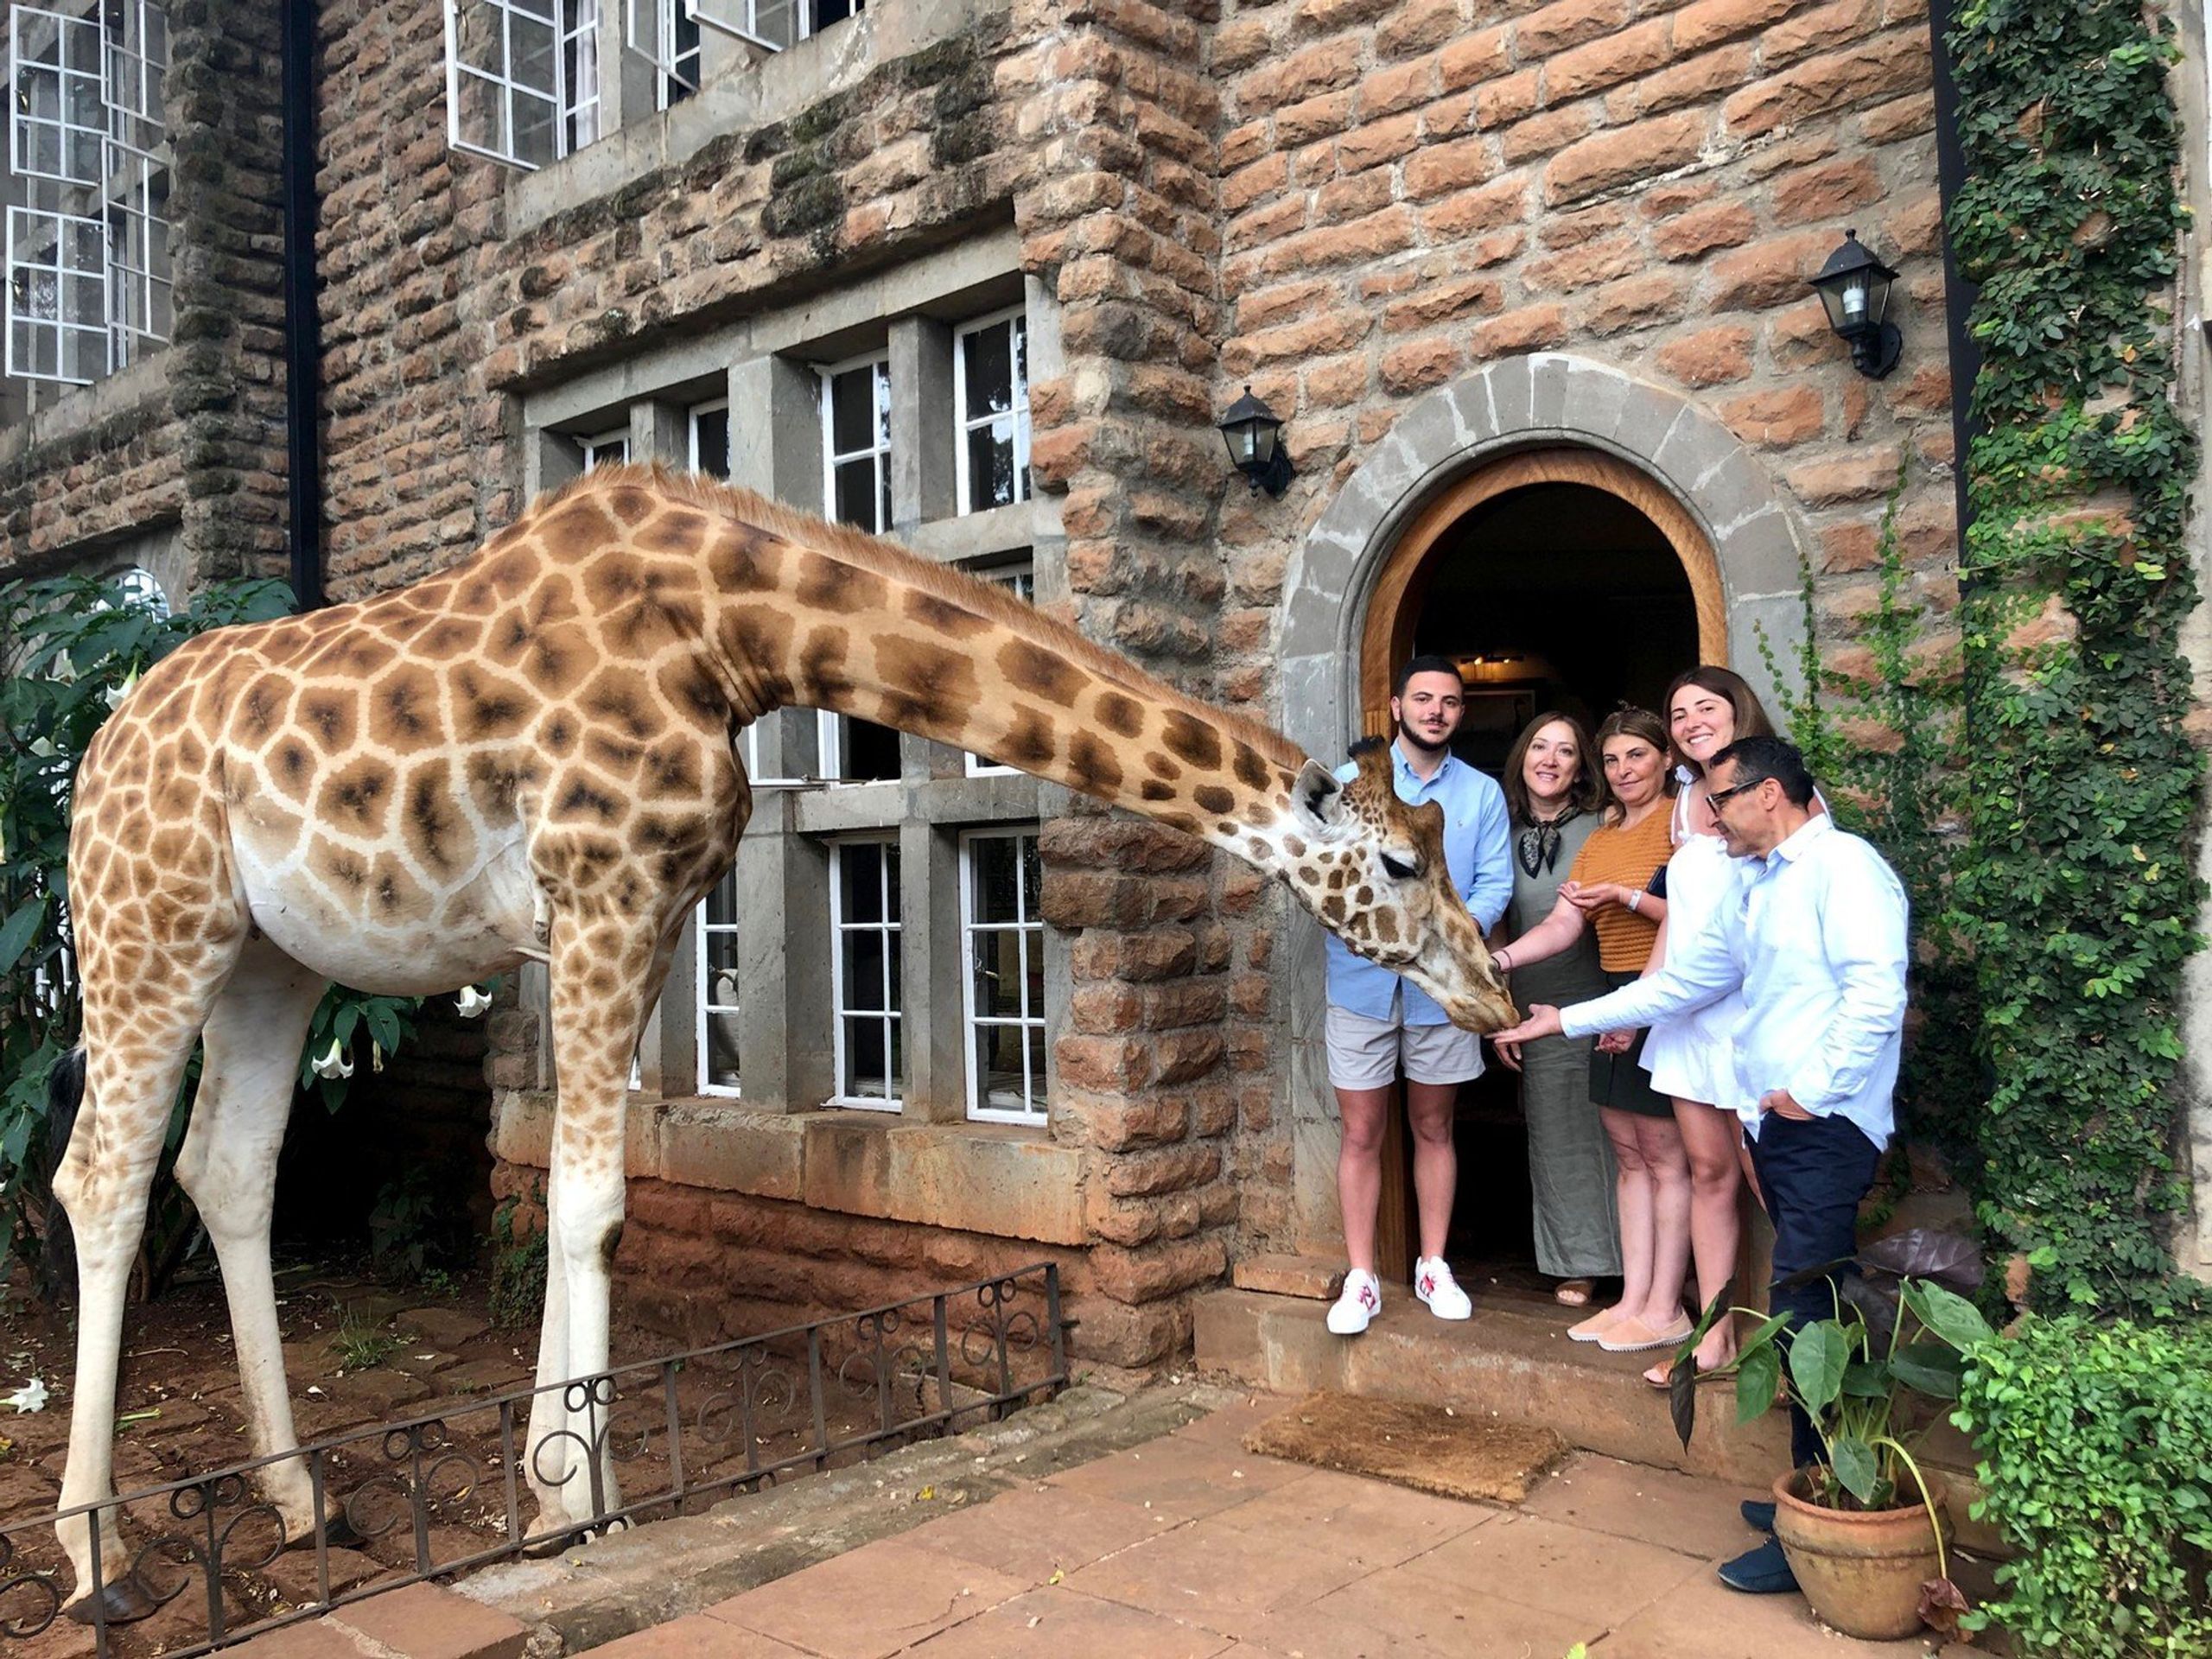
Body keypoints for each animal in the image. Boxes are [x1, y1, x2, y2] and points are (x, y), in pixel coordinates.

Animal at [47, 463, 1516, 1619]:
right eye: (1400, 860)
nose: (1496, 1001)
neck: (732, 635)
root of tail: (98, 742)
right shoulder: (600, 894)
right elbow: (592, 1200)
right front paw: (584, 1504)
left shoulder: (649, 910)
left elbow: (590, 1195)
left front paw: (559, 1489)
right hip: (149, 923)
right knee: (99, 1180)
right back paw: (97, 1563)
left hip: (271, 955)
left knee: (226, 1169)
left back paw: (302, 1506)